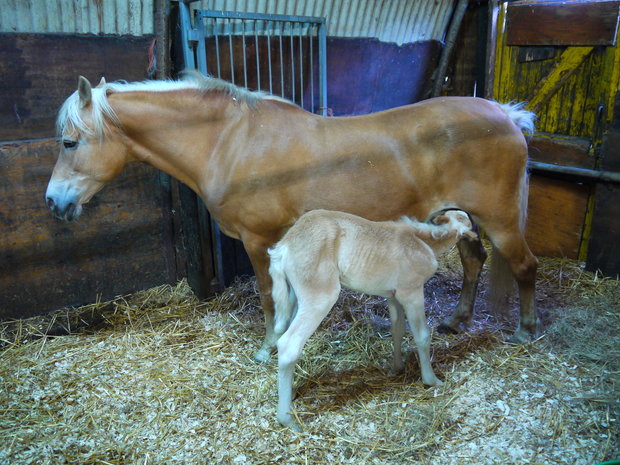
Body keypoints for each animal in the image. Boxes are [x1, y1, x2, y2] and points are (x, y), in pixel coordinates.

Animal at [46, 71, 536, 358]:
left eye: (69, 142)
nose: (53, 202)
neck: (230, 141)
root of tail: (504, 114)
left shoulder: (259, 239)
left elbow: (270, 297)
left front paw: (268, 346)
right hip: (463, 216)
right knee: (474, 260)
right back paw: (457, 320)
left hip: (499, 218)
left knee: (524, 265)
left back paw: (525, 329)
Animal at [268, 208, 478, 426]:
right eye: (464, 219)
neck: (424, 241)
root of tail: (284, 246)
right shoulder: (411, 292)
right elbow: (422, 335)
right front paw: (431, 380)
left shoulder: (393, 295)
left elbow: (397, 329)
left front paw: (397, 367)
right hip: (319, 296)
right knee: (289, 344)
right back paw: (286, 419)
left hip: (294, 296)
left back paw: (289, 394)